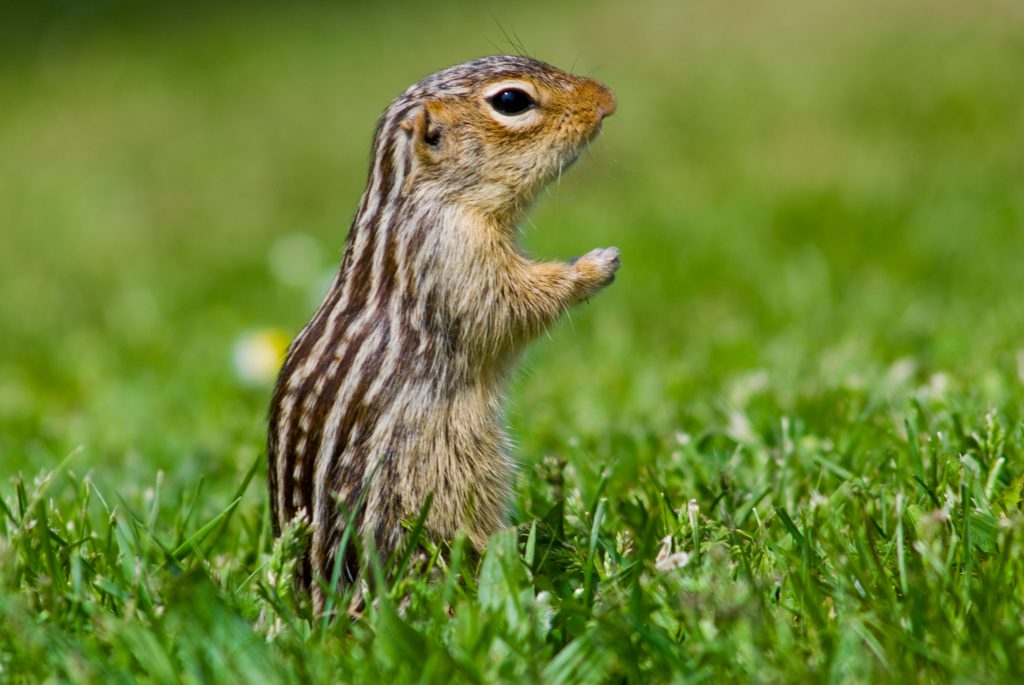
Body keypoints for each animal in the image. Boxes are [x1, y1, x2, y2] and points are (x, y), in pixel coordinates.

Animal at [267, 55, 618, 610]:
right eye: (511, 101)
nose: (607, 100)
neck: (421, 199)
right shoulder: (455, 256)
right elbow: (512, 305)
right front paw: (594, 266)